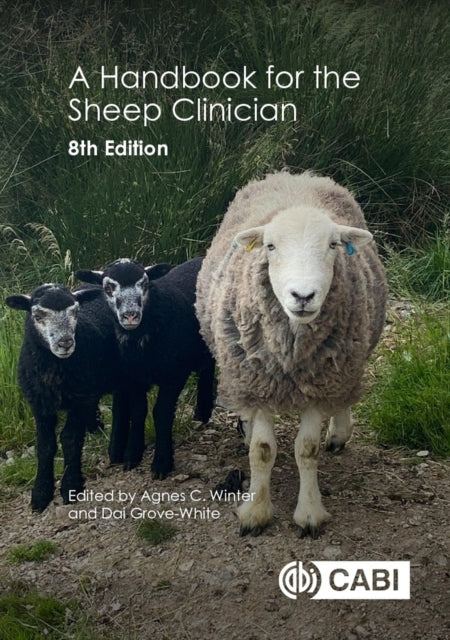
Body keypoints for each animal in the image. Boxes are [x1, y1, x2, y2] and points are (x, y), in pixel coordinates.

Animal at [5, 283, 130, 512]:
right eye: (37, 315)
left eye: (75, 312)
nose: (65, 343)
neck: (54, 370)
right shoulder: (40, 404)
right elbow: (45, 445)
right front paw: (40, 493)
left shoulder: (79, 400)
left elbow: (70, 439)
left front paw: (71, 485)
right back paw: (96, 427)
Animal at [76, 256, 216, 479]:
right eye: (108, 287)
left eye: (144, 283)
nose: (130, 316)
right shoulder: (134, 378)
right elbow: (138, 411)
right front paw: (132, 455)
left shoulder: (174, 374)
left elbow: (161, 413)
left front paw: (161, 462)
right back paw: (202, 413)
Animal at [196, 171, 387, 538]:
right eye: (270, 246)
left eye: (333, 245)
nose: (303, 295)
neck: (291, 355)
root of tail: (296, 174)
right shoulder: (257, 381)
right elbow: (262, 450)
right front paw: (255, 511)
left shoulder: (322, 380)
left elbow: (307, 450)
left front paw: (310, 513)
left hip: (348, 359)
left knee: (344, 397)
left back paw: (339, 433)